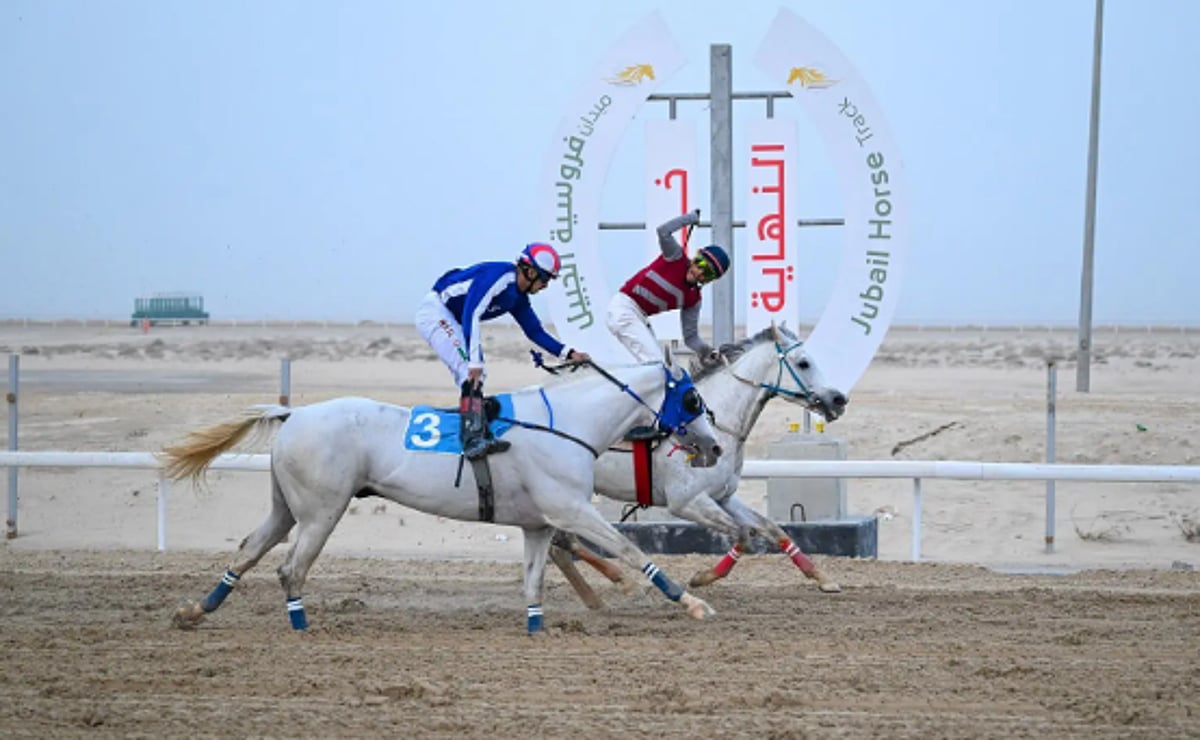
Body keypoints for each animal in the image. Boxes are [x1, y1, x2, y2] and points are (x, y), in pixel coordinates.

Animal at [160, 359, 724, 634]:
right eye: (692, 397)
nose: (715, 445)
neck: (566, 424)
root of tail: (293, 413)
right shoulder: (571, 510)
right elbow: (630, 550)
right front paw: (693, 603)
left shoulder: (539, 523)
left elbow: (534, 580)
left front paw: (537, 628)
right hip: (323, 510)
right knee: (289, 568)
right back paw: (301, 624)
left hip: (286, 506)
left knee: (249, 550)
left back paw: (195, 612)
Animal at [550, 324, 849, 603]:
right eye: (804, 362)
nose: (839, 399)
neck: (715, 424)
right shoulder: (687, 501)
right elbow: (744, 534)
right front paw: (703, 577)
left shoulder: (723, 496)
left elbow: (770, 528)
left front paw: (822, 577)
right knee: (564, 543)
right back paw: (626, 584)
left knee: (559, 546)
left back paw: (597, 598)